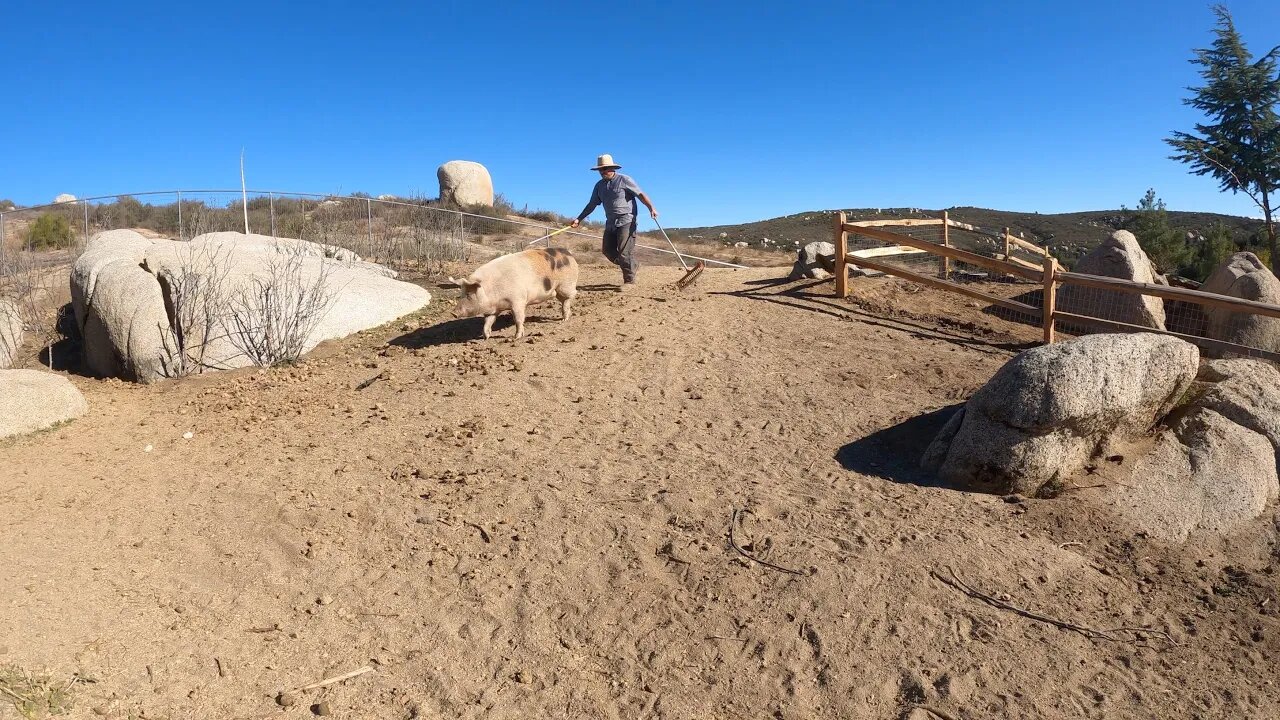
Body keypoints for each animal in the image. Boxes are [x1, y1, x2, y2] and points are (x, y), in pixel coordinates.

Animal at [445, 244, 576, 338]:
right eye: (460, 294)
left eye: (469, 295)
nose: (453, 313)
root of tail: (569, 253)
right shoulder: (493, 310)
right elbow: (487, 322)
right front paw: (485, 337)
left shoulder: (518, 301)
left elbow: (518, 319)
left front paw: (516, 337)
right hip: (557, 290)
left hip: (565, 285)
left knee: (569, 298)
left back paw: (564, 320)